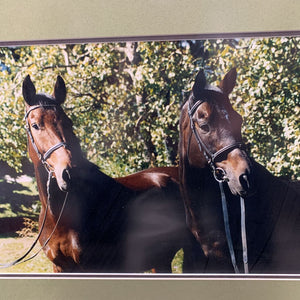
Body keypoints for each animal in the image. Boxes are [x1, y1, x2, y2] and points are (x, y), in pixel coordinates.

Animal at [21, 74, 202, 272]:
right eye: (35, 125)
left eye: (68, 122)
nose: (71, 173)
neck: (61, 216)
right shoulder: (60, 268)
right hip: (161, 259)